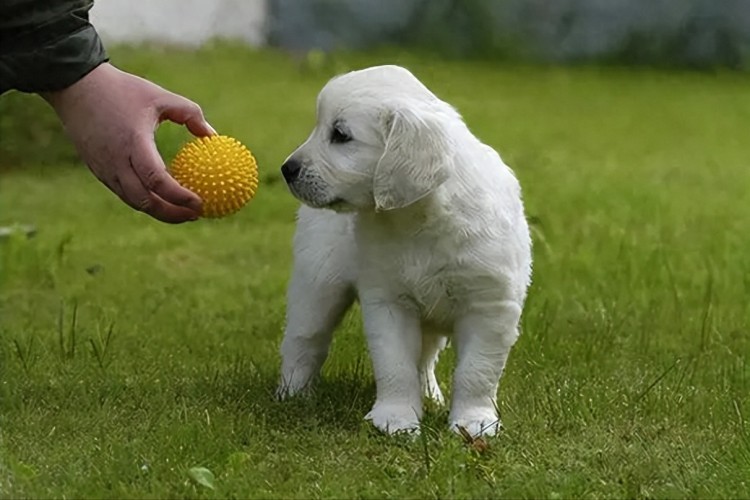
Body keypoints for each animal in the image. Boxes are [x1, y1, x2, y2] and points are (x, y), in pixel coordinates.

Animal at [278, 64, 536, 436]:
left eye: (340, 135)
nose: (287, 169)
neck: (419, 218)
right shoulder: (388, 301)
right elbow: (395, 365)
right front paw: (395, 419)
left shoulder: (490, 306)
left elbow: (477, 371)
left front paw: (474, 422)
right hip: (318, 282)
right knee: (304, 340)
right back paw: (292, 395)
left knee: (425, 358)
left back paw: (430, 396)